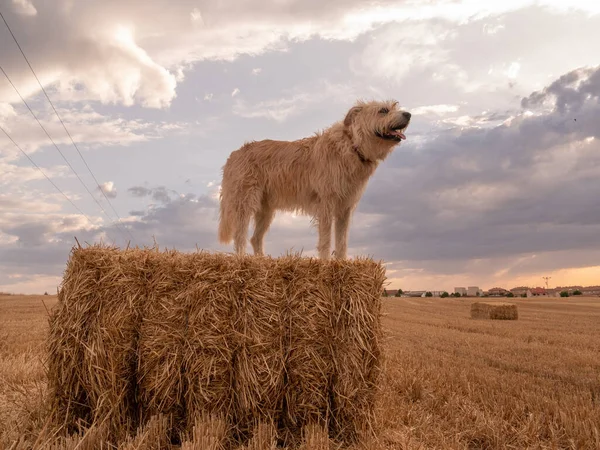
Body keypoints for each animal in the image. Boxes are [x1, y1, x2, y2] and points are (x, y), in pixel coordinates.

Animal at [218, 100, 410, 258]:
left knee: (255, 238)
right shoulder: (326, 204)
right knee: (240, 236)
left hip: (266, 210)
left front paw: (341, 264)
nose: (408, 114)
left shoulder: (344, 208)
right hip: (244, 202)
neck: (351, 145)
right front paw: (325, 265)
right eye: (383, 110)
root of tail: (234, 155)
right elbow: (325, 241)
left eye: (395, 106)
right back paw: (242, 261)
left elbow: (342, 242)